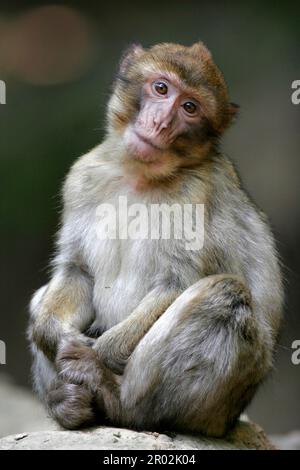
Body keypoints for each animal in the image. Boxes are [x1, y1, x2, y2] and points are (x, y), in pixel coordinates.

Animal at [27, 42, 282, 436]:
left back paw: (114, 398)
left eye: (190, 107)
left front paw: (95, 355)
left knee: (225, 296)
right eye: (161, 88)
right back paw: (66, 404)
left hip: (217, 405)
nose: (160, 123)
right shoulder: (81, 176)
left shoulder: (196, 194)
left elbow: (177, 282)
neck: (139, 175)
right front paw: (55, 336)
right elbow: (77, 272)